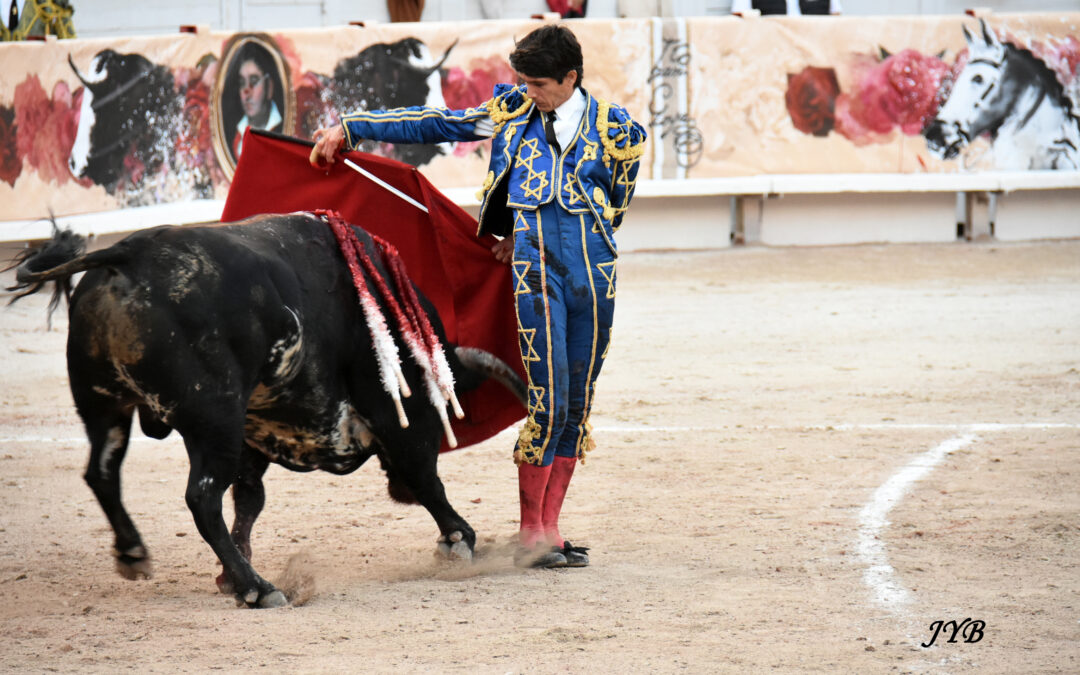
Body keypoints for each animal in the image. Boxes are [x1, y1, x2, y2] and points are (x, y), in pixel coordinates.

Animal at [9, 212, 527, 609]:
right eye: (440, 419)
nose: (395, 490)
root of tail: (127, 252)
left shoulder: (252, 435)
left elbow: (249, 499)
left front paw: (225, 575)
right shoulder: (393, 415)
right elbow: (428, 479)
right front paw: (458, 540)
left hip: (106, 407)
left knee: (102, 473)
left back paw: (136, 554)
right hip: (213, 416)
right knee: (201, 497)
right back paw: (259, 589)